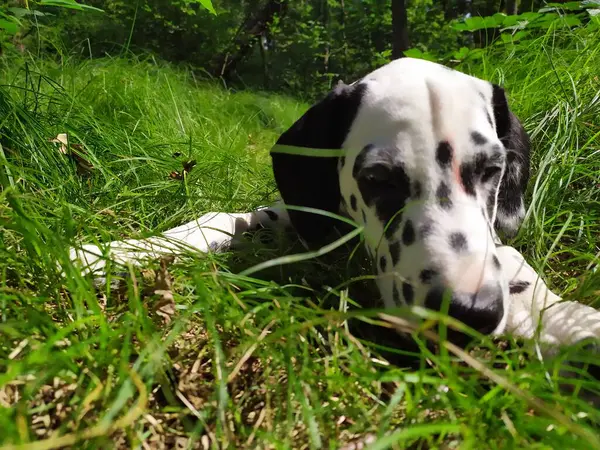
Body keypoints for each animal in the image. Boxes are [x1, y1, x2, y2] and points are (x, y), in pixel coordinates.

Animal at [69, 57, 600, 362]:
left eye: (492, 168)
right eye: (378, 179)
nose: (467, 312)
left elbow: (516, 266)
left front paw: (572, 322)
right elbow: (217, 221)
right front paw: (112, 252)